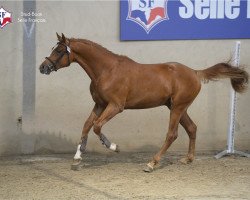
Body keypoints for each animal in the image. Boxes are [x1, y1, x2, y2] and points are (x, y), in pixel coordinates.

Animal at [39, 33, 248, 172]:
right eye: (53, 49)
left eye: (59, 50)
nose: (43, 67)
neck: (106, 70)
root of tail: (195, 73)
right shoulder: (99, 105)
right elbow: (86, 126)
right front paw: (77, 157)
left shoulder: (115, 106)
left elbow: (97, 126)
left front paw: (113, 147)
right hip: (177, 107)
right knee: (192, 128)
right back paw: (188, 159)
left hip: (177, 107)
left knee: (172, 134)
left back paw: (152, 163)